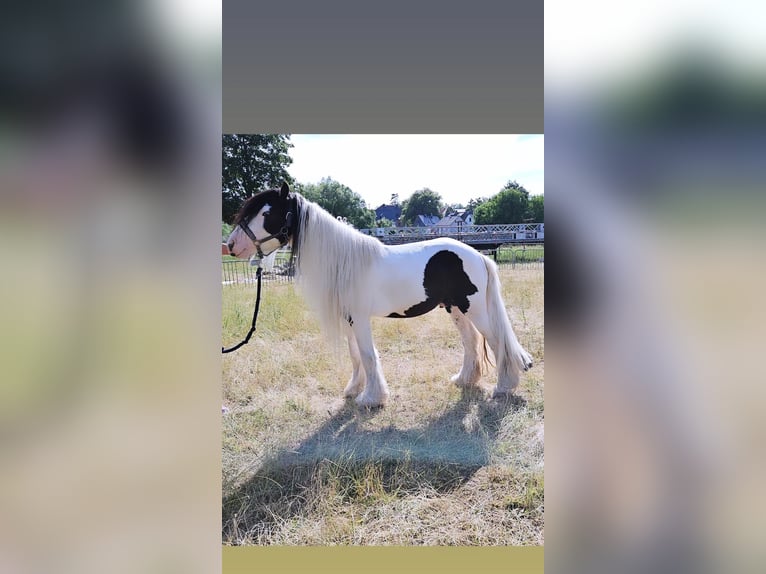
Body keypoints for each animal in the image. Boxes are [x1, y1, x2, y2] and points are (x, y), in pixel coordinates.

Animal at [228, 182, 536, 408]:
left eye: (266, 214)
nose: (231, 245)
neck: (345, 261)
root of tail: (477, 255)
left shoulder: (360, 319)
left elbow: (367, 355)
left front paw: (371, 399)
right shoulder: (349, 319)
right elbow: (355, 356)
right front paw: (353, 390)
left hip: (475, 309)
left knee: (496, 341)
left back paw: (503, 387)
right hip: (455, 308)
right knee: (470, 341)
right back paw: (464, 380)